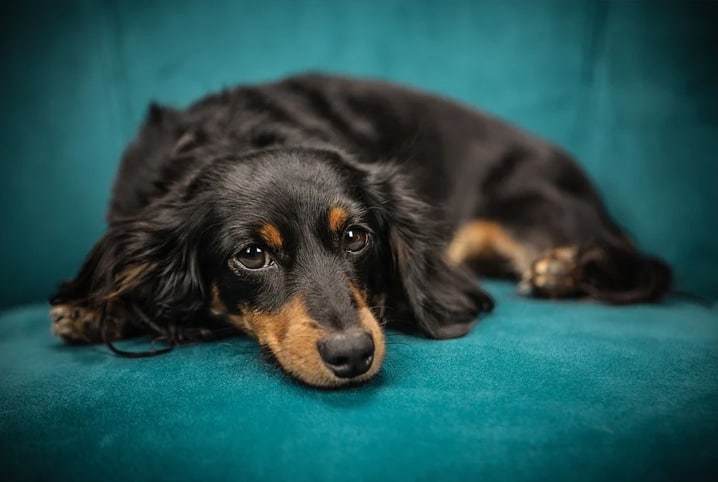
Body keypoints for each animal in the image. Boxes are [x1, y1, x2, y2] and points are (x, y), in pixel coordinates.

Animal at [47, 72, 672, 388]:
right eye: (251, 254)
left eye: (355, 237)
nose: (352, 355)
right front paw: (94, 308)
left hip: (532, 208)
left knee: (646, 268)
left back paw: (563, 269)